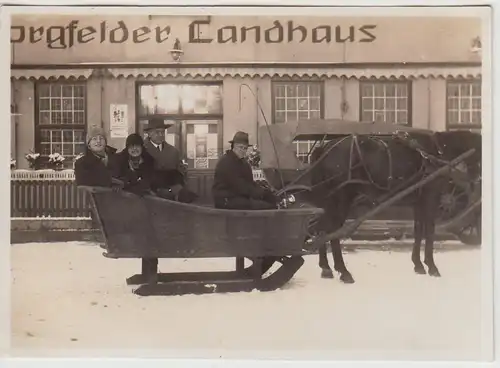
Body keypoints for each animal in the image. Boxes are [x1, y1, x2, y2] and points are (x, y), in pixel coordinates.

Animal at [278, 130, 480, 284]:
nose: (476, 182)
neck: (438, 153)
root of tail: (325, 148)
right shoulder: (430, 199)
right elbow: (429, 232)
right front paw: (432, 266)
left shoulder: (418, 202)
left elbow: (418, 231)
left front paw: (418, 265)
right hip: (342, 196)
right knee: (332, 229)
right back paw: (343, 271)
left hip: (331, 199)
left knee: (323, 228)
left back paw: (326, 268)